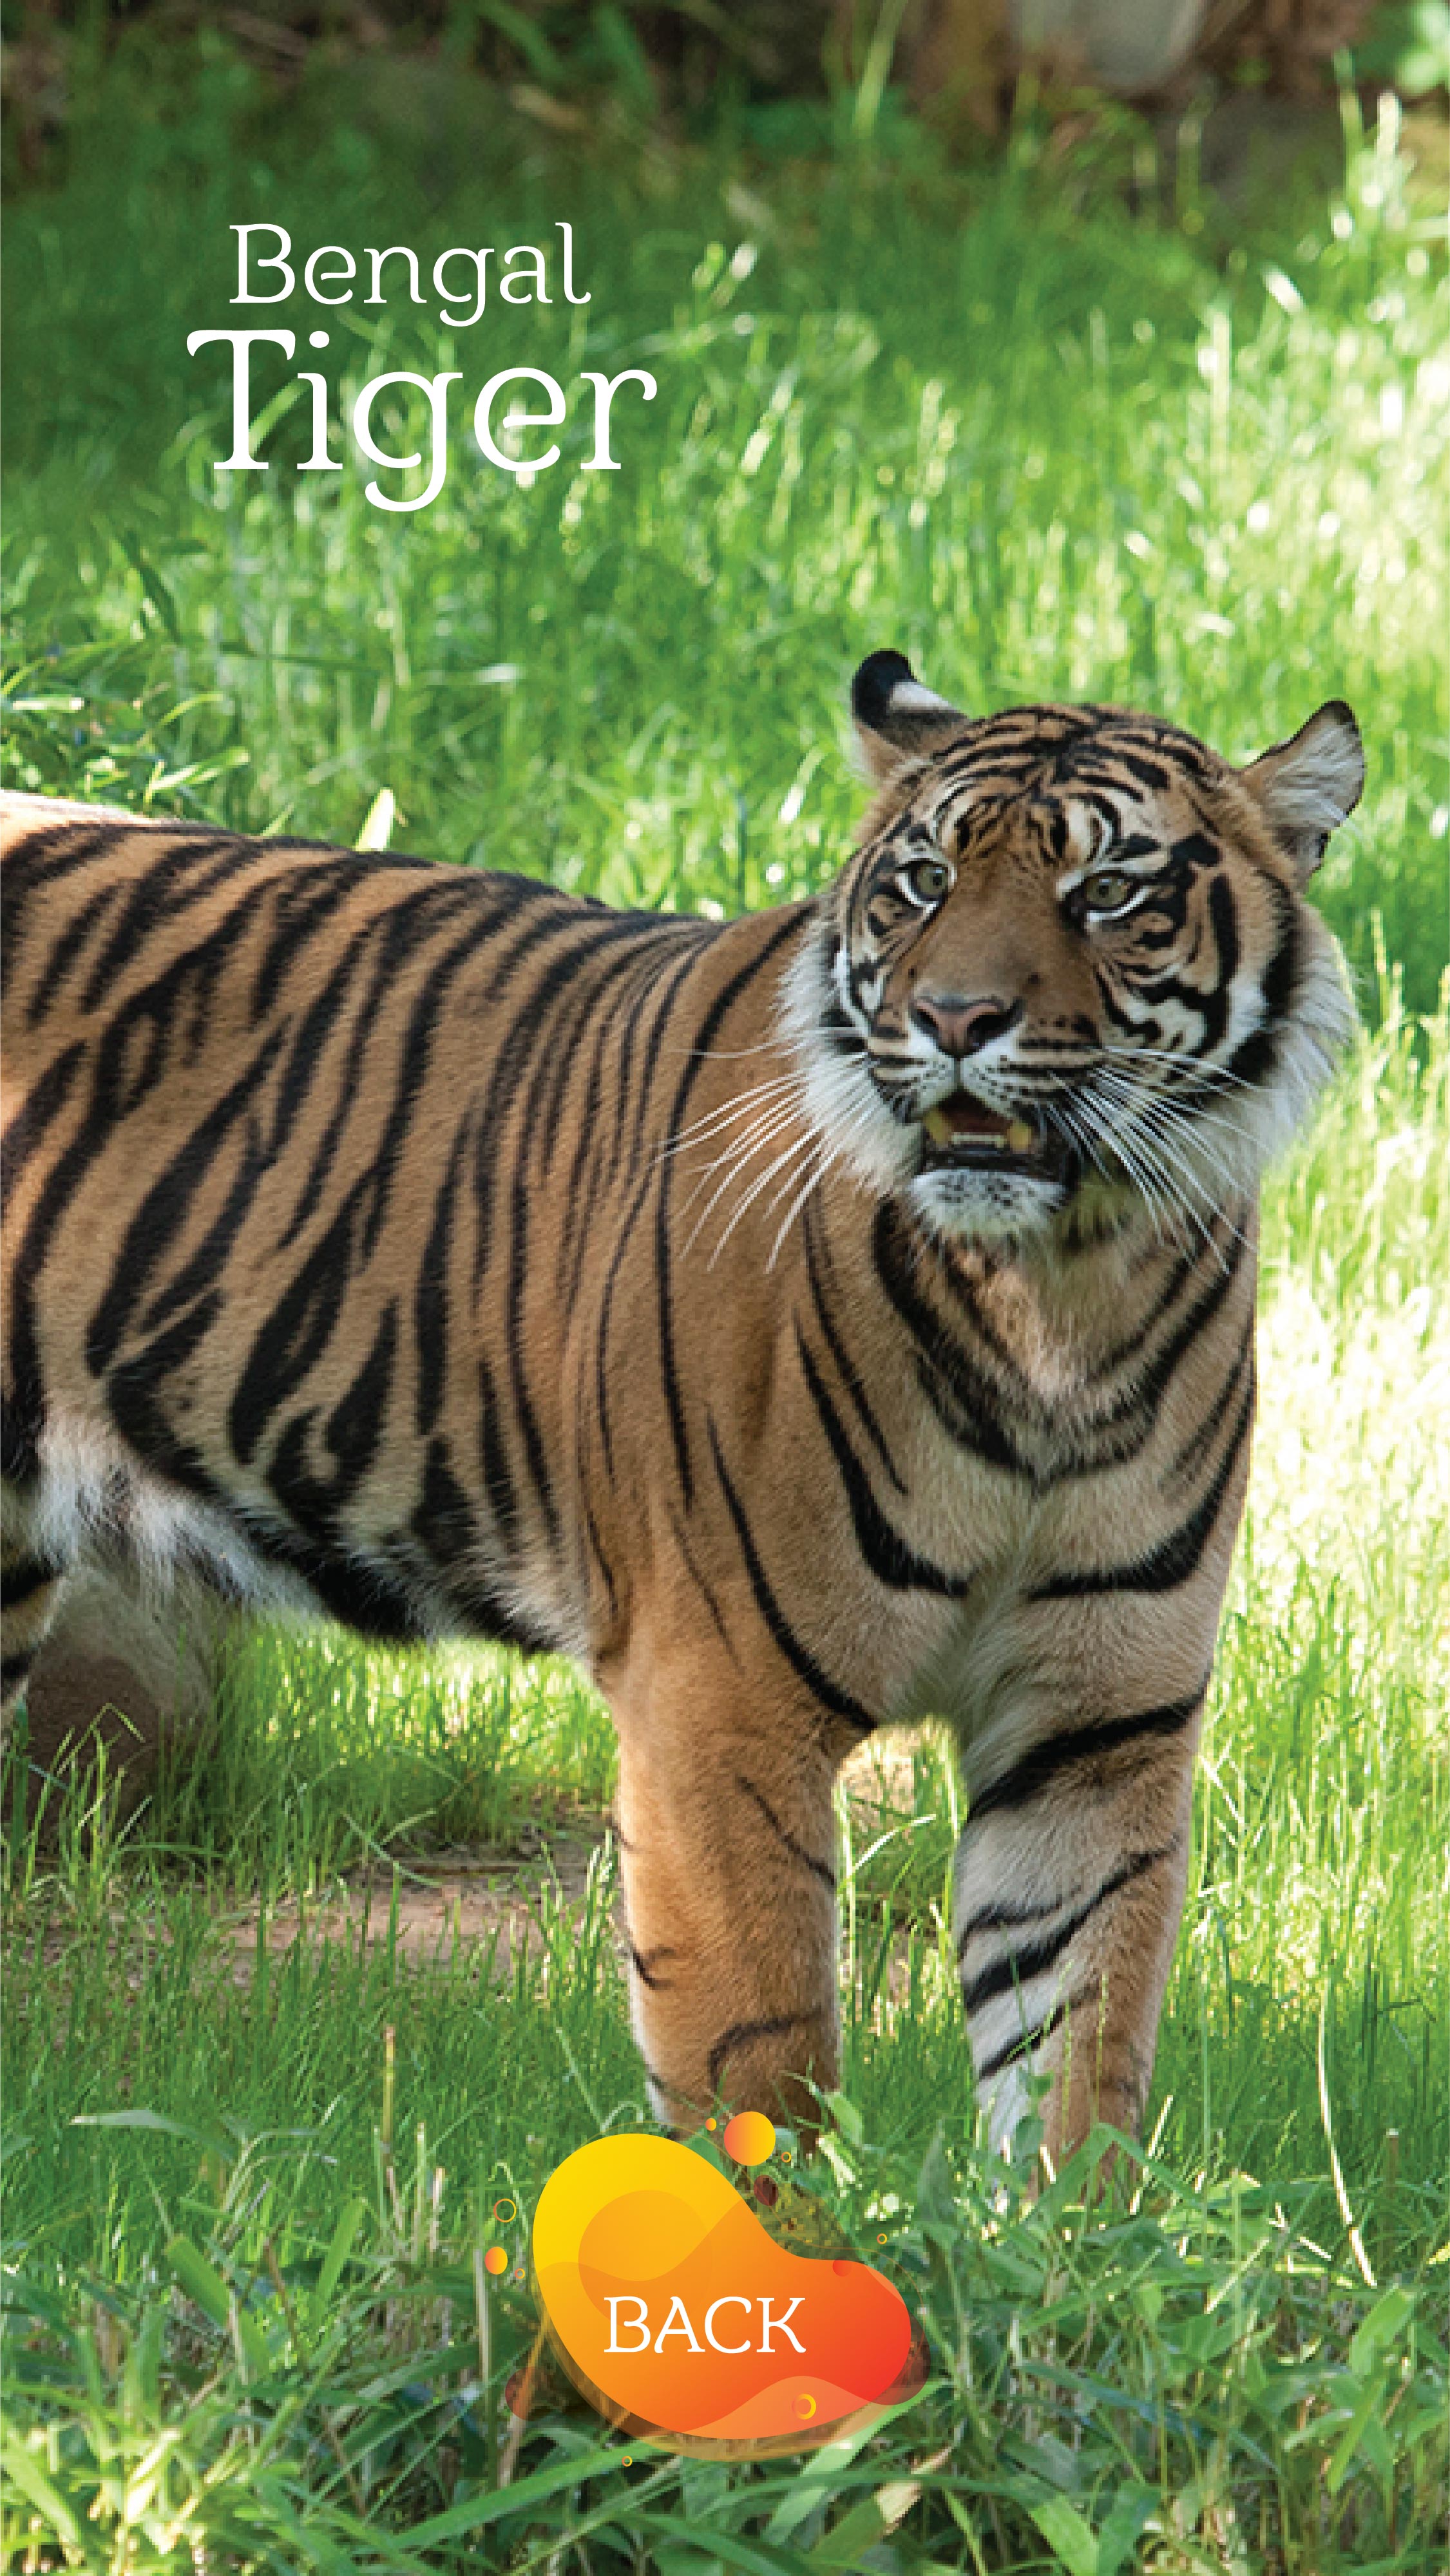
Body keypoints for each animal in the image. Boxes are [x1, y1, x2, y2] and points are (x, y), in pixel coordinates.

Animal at [0, 652, 1363, 2163]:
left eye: (1108, 891)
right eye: (924, 880)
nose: (953, 1020)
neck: (1060, 1293)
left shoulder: (1097, 1725)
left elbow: (1079, 2061)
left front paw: (1062, 2224)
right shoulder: (721, 1701)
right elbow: (761, 2065)